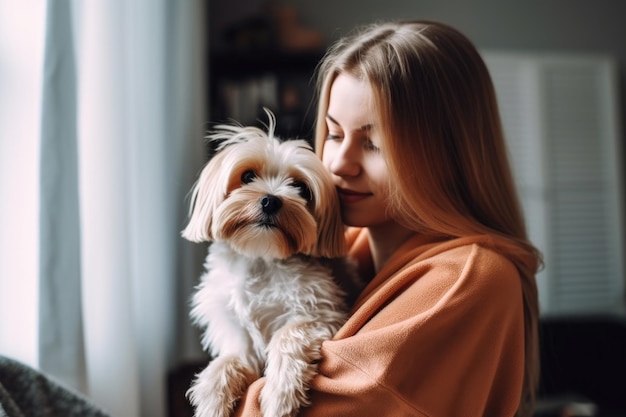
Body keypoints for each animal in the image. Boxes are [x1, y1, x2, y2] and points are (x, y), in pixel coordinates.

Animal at [183, 112, 354, 416]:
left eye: (301, 188)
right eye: (247, 176)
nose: (270, 201)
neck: (261, 257)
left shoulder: (322, 315)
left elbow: (287, 335)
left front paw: (279, 395)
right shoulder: (239, 335)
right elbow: (231, 360)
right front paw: (212, 395)